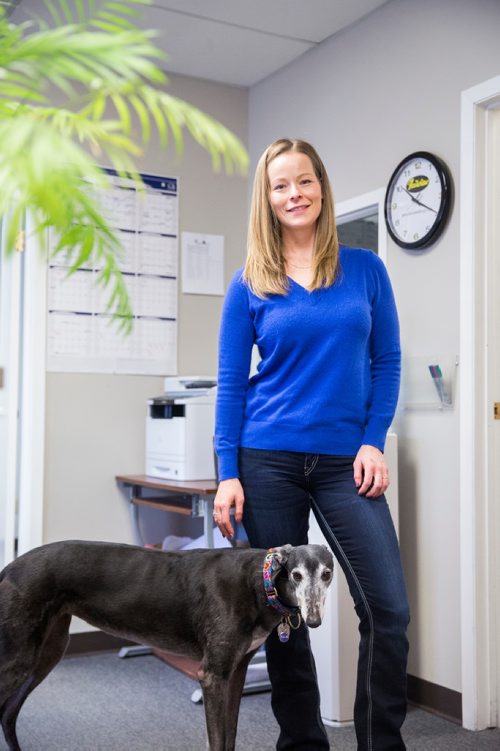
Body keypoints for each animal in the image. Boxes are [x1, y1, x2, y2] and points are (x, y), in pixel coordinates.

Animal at [0, 540, 336, 751]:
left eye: (327, 574)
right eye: (296, 575)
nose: (314, 620)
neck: (258, 580)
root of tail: (10, 567)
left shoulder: (236, 672)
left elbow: (229, 736)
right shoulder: (212, 676)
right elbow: (217, 741)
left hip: (48, 651)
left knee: (8, 713)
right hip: (18, 656)